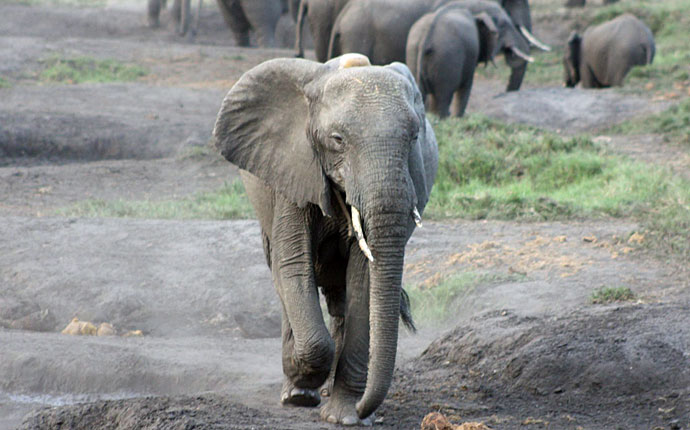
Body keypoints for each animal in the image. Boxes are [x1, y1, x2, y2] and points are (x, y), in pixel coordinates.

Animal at [211, 52, 436, 424]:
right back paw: (299, 389)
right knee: (284, 280)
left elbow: (364, 278)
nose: (364, 408)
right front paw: (302, 388)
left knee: (341, 297)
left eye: (414, 137)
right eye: (337, 140)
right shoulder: (294, 168)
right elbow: (293, 264)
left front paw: (346, 417)